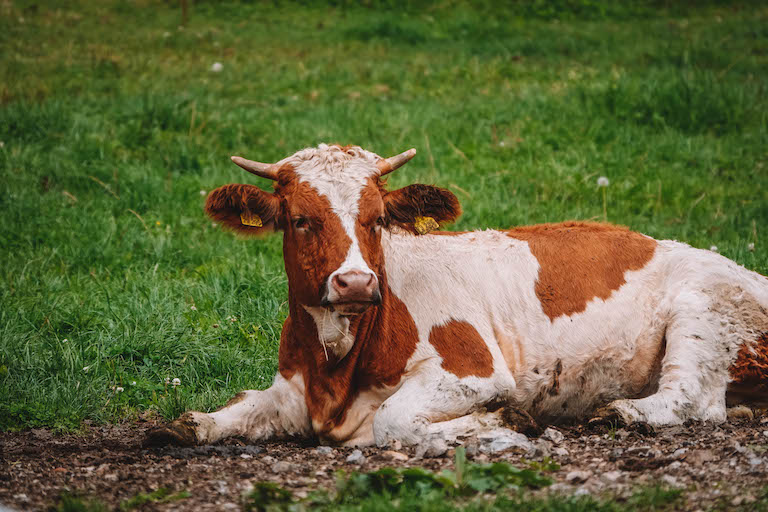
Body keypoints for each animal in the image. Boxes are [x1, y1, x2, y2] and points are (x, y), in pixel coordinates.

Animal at [147, 143, 768, 448]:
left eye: (377, 219)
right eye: (300, 219)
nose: (356, 282)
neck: (338, 366)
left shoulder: (474, 370)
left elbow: (395, 422)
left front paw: (502, 423)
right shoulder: (294, 388)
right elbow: (221, 416)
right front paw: (187, 423)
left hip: (705, 308)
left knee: (692, 399)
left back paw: (622, 412)